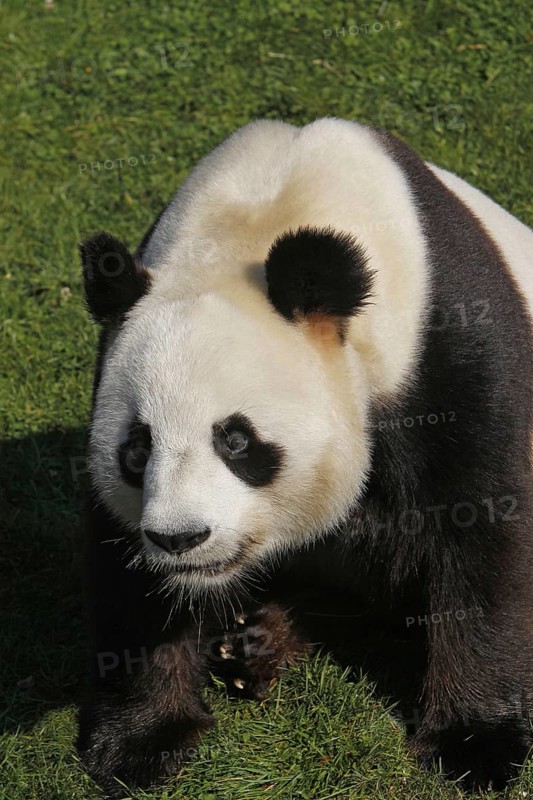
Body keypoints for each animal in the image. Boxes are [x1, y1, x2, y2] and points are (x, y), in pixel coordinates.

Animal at [77, 118, 533, 797]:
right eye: (137, 449)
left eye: (236, 441)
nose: (181, 538)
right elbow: (127, 568)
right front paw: (141, 742)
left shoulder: (447, 344)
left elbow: (483, 529)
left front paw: (476, 744)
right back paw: (257, 643)